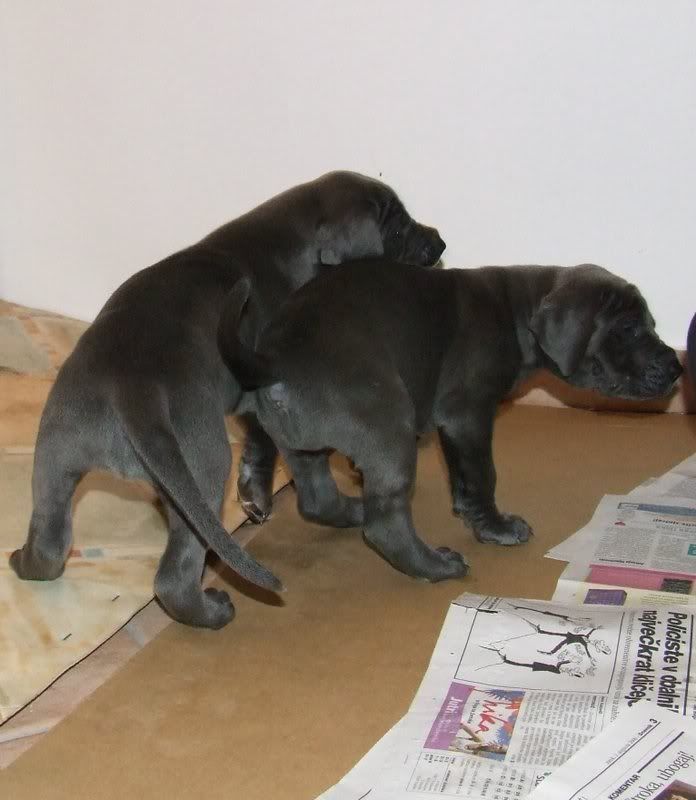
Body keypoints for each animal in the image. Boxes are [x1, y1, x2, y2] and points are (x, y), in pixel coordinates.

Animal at [10, 172, 446, 628]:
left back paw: (24, 560)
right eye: (396, 228)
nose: (441, 243)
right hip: (202, 462)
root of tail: (131, 389)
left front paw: (254, 491)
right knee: (178, 572)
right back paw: (212, 612)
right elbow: (269, 443)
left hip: (56, 450)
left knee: (51, 538)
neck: (287, 239)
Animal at [219, 262, 681, 582]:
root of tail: (273, 359)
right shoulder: (468, 414)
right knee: (385, 524)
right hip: (388, 425)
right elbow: (481, 474)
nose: (678, 368)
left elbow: (463, 478)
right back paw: (435, 567)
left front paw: (474, 517)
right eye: (629, 328)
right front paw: (497, 528)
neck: (515, 311)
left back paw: (355, 510)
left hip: (302, 445)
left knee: (317, 499)